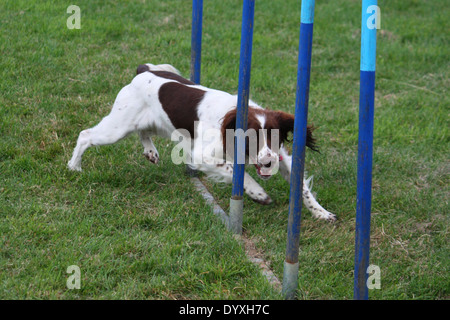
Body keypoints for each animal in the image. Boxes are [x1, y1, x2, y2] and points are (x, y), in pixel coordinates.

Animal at [67, 63, 334, 221]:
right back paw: (74, 167)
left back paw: (151, 152)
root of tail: (143, 71)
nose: (268, 162)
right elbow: (236, 172)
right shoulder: (202, 155)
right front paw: (258, 193)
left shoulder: (282, 157)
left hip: (154, 123)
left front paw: (321, 213)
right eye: (251, 137)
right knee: (86, 135)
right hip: (118, 126)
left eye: (273, 136)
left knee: (143, 133)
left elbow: (302, 187)